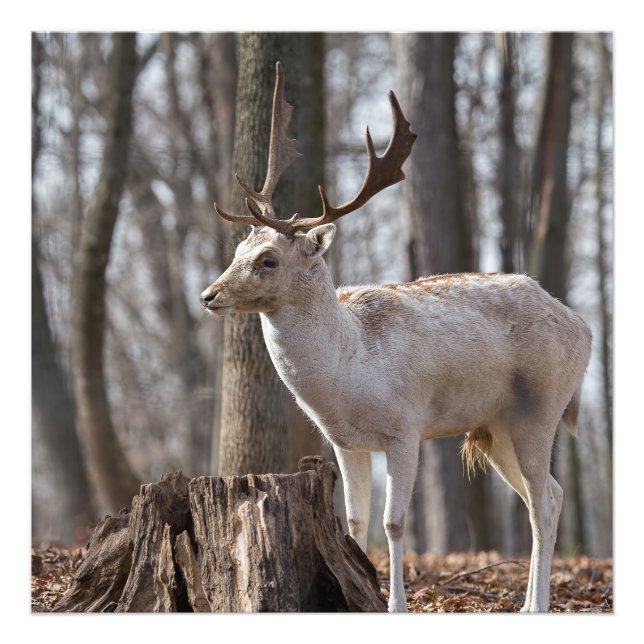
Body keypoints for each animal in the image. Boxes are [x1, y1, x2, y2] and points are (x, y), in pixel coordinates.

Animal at [200, 62, 592, 612]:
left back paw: (535, 605)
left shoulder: (406, 427)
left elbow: (394, 521)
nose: (208, 294)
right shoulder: (344, 442)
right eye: (238, 250)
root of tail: (585, 327)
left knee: (541, 503)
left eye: (268, 260)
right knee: (551, 494)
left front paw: (396, 606)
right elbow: (355, 522)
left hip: (542, 407)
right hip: (496, 428)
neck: (348, 371)